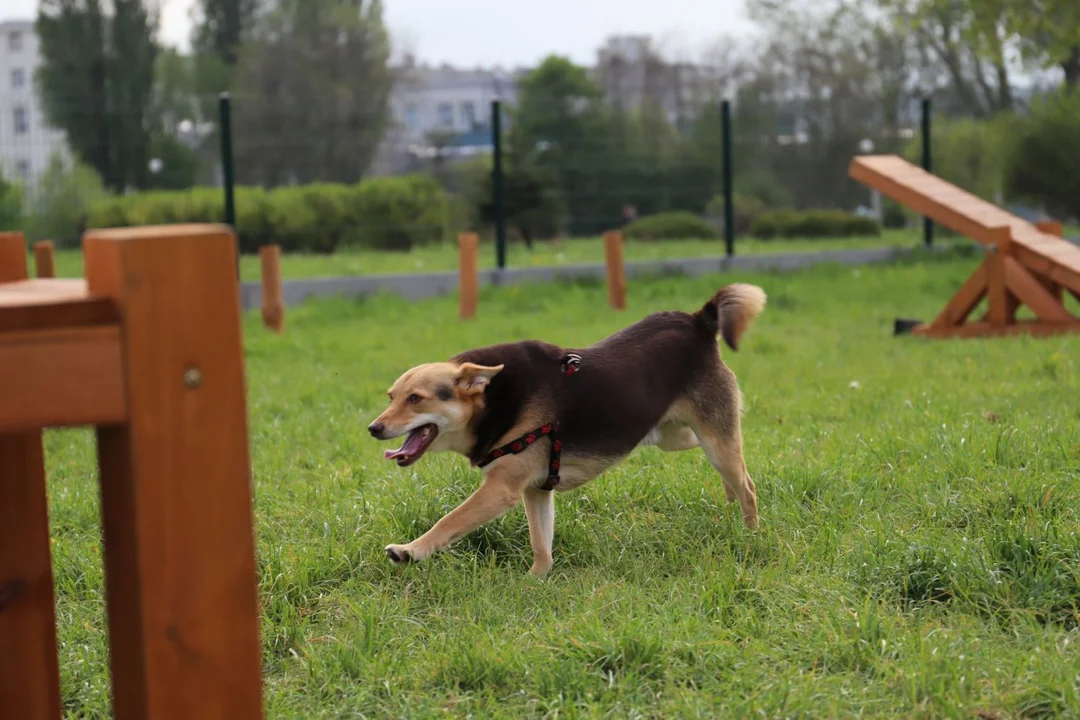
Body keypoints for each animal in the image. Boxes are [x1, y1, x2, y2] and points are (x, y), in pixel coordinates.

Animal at [371, 284, 768, 578]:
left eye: (415, 399)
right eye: (391, 397)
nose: (374, 428)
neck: (492, 400)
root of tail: (699, 321)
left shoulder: (501, 489)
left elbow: (447, 523)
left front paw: (409, 551)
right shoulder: (535, 489)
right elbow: (541, 543)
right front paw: (535, 580)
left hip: (713, 438)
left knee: (747, 485)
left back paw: (750, 534)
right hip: (672, 436)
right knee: (724, 465)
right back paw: (729, 500)